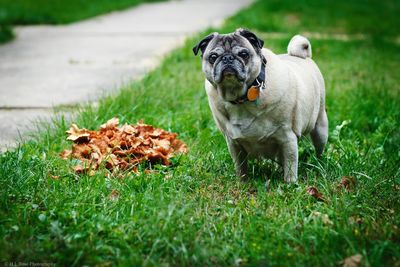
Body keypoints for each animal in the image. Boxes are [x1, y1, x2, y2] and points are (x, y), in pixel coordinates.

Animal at [194, 29, 328, 184]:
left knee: (318, 149)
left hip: (320, 128)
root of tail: (302, 56)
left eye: (244, 54)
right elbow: (240, 167)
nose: (227, 58)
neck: (240, 98)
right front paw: (242, 183)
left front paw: (290, 185)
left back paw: (319, 165)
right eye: (213, 57)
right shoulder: (233, 143)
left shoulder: (288, 138)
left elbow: (290, 168)